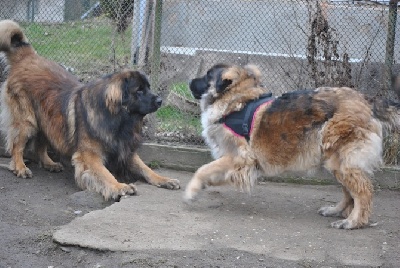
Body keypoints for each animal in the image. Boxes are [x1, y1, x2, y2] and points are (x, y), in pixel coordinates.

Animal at [0, 19, 180, 200]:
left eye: (148, 87)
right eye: (139, 90)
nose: (160, 100)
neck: (117, 119)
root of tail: (27, 56)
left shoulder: (126, 150)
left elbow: (146, 169)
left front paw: (164, 179)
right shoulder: (89, 156)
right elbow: (106, 174)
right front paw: (119, 186)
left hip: (46, 119)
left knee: (39, 144)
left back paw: (49, 163)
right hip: (27, 121)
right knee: (16, 145)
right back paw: (20, 167)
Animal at [184, 63, 400, 229]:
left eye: (207, 76)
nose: (189, 82)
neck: (237, 99)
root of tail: (367, 100)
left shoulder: (239, 157)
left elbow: (202, 169)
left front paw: (191, 191)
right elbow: (213, 172)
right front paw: (204, 186)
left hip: (340, 160)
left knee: (363, 191)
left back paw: (353, 222)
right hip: (336, 160)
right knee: (349, 192)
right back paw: (337, 211)